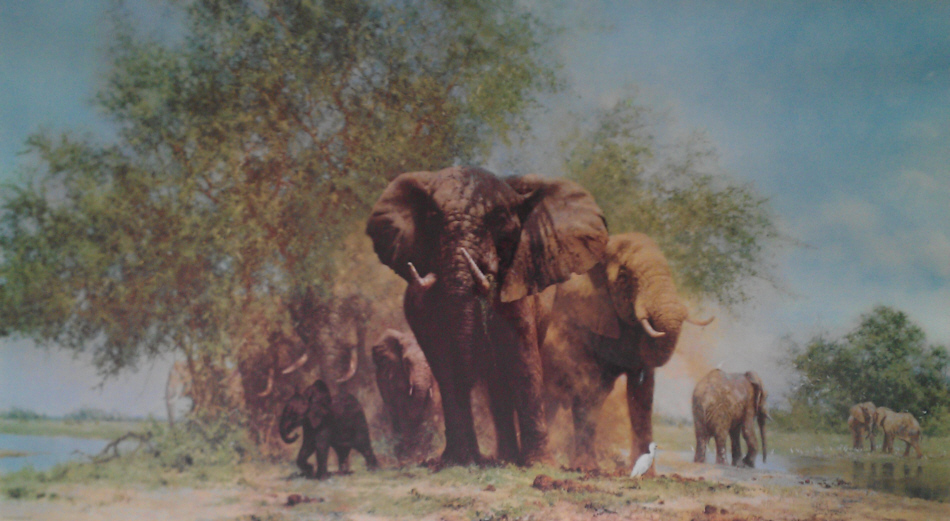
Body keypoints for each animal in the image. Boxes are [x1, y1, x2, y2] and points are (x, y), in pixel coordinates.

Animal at [372, 329, 442, 463]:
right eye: (406, 363)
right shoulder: (396, 377)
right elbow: (404, 413)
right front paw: (410, 460)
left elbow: (430, 412)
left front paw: (424, 457)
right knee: (395, 418)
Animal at [541, 232, 713, 472]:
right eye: (624, 277)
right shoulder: (574, 316)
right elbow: (585, 383)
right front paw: (587, 469)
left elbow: (643, 395)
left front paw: (647, 475)